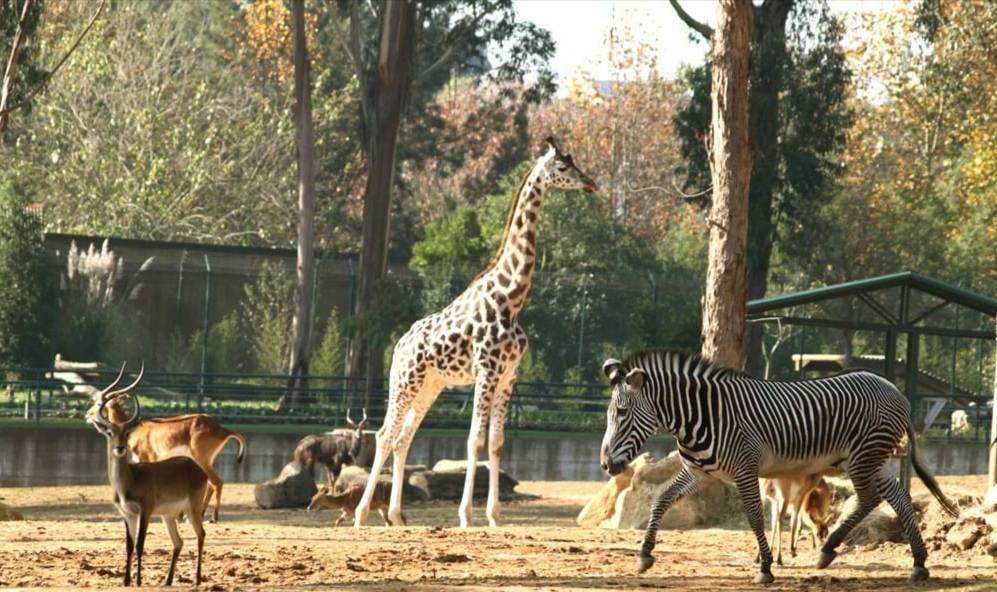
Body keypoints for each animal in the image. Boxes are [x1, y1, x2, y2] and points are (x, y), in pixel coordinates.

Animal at [87, 366, 210, 588]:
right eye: (109, 432)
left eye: (127, 433)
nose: (120, 448)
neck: (128, 481)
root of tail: (197, 468)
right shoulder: (127, 514)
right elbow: (129, 546)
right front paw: (126, 581)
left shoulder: (145, 511)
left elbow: (140, 544)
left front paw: (137, 580)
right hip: (168, 515)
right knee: (178, 542)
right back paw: (167, 581)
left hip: (192, 509)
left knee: (201, 534)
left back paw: (197, 579)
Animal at [87, 370, 247, 524]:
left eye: (99, 404)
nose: (87, 415)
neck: (134, 430)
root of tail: (221, 429)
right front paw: (178, 516)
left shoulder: (148, 459)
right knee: (210, 483)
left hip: (201, 459)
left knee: (216, 482)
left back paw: (212, 518)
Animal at [354, 139, 596, 528]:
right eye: (562, 167)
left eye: (576, 164)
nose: (591, 183)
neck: (511, 298)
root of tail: (399, 345)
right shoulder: (486, 372)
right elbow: (474, 442)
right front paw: (466, 515)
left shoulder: (508, 376)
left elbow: (496, 442)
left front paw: (495, 516)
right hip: (404, 383)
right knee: (383, 435)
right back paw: (362, 514)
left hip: (431, 387)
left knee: (404, 439)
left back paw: (397, 516)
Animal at [600, 350, 956, 584]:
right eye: (610, 413)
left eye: (621, 413)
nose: (605, 464)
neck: (701, 416)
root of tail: (897, 391)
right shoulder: (698, 472)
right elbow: (661, 501)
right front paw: (644, 555)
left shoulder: (746, 469)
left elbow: (756, 517)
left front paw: (765, 568)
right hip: (869, 458)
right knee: (892, 497)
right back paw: (912, 561)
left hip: (864, 457)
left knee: (874, 497)